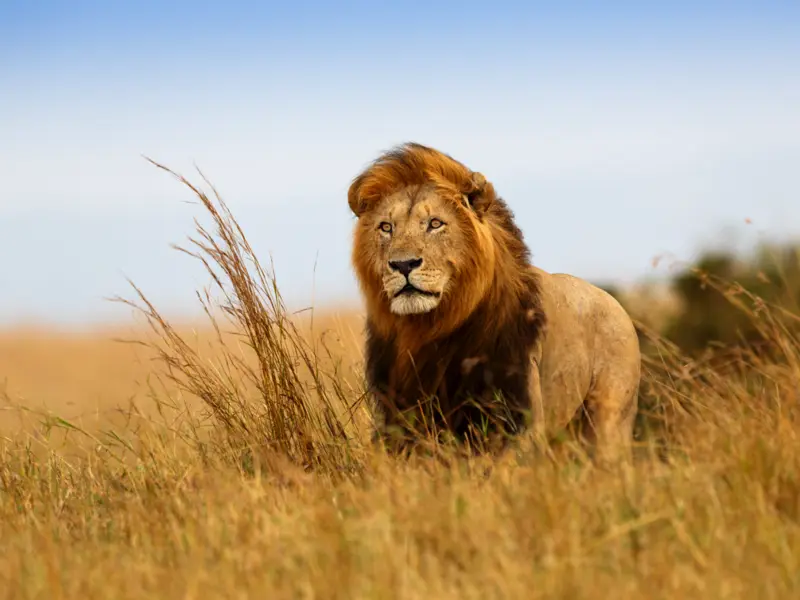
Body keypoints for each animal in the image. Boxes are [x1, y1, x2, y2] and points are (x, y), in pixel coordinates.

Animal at [346, 142, 640, 464]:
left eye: (435, 224)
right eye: (386, 227)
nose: (403, 264)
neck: (428, 329)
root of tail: (616, 304)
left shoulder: (517, 416)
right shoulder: (398, 416)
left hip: (608, 421)